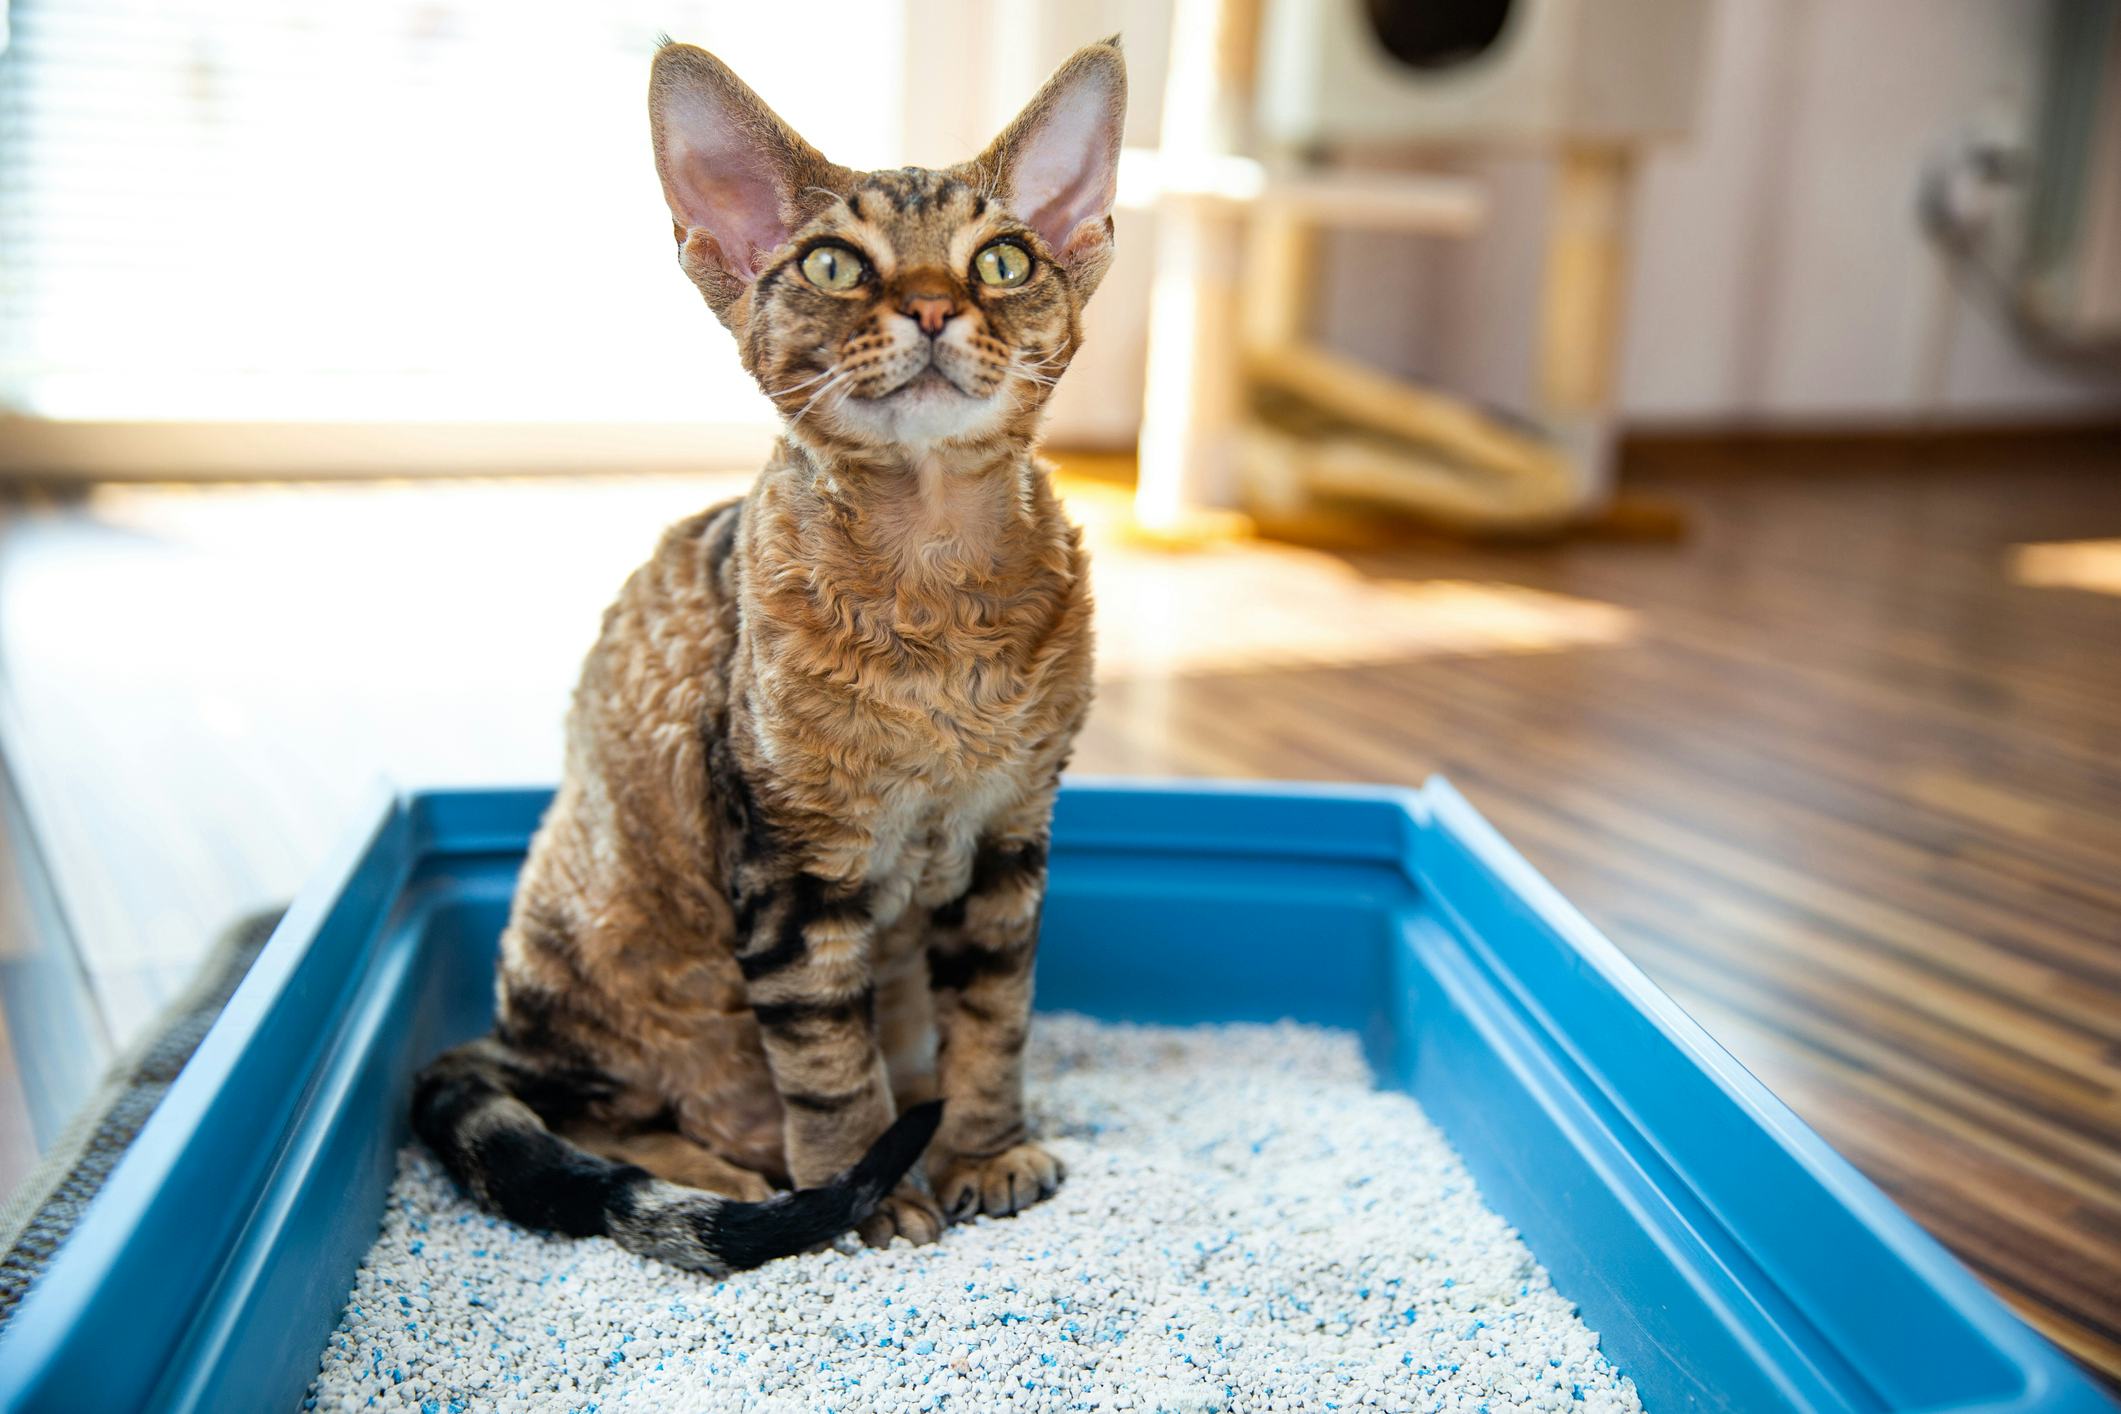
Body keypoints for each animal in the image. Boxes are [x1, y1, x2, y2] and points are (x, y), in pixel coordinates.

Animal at [405, 33, 1119, 1280]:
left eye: (1004, 260)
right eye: (835, 265)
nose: (933, 305)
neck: (938, 604)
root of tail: (501, 1029)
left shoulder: (1009, 836)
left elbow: (996, 1019)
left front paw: (985, 1150)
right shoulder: (789, 862)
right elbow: (828, 1063)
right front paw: (861, 1195)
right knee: (596, 1115)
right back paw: (735, 1174)